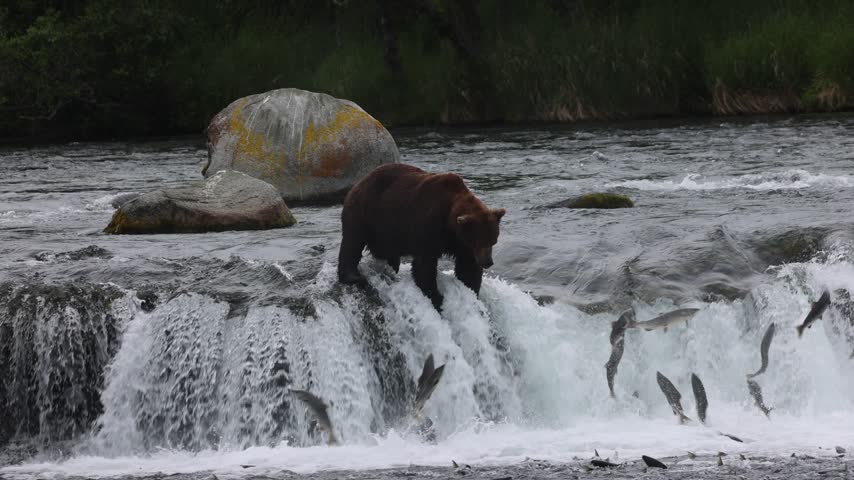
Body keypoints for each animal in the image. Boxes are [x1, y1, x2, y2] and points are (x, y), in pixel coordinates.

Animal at [337, 163, 505, 310]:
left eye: (493, 241)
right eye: (480, 241)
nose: (488, 262)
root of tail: (360, 181)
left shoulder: (460, 244)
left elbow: (468, 267)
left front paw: (471, 289)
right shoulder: (428, 224)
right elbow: (424, 265)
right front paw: (436, 297)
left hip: (385, 228)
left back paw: (392, 266)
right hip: (365, 210)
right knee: (352, 241)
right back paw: (354, 277)